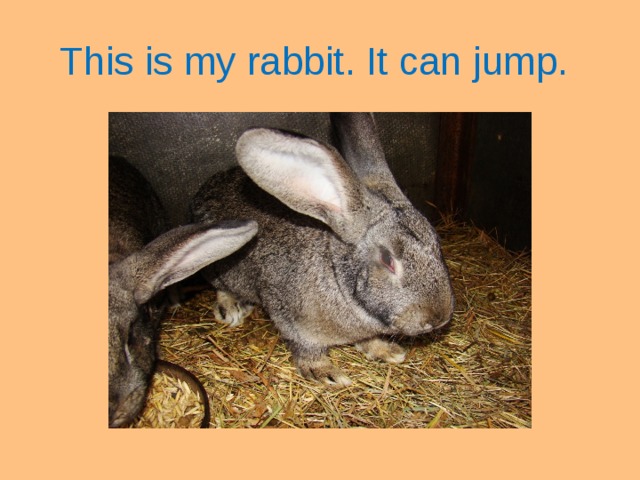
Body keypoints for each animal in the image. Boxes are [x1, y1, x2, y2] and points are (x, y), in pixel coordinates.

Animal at [190, 113, 455, 387]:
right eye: (387, 259)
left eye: (437, 241)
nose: (439, 318)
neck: (341, 282)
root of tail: (204, 189)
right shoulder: (291, 319)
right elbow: (306, 348)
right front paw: (326, 373)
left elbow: (368, 340)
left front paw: (388, 351)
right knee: (220, 287)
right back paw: (231, 310)